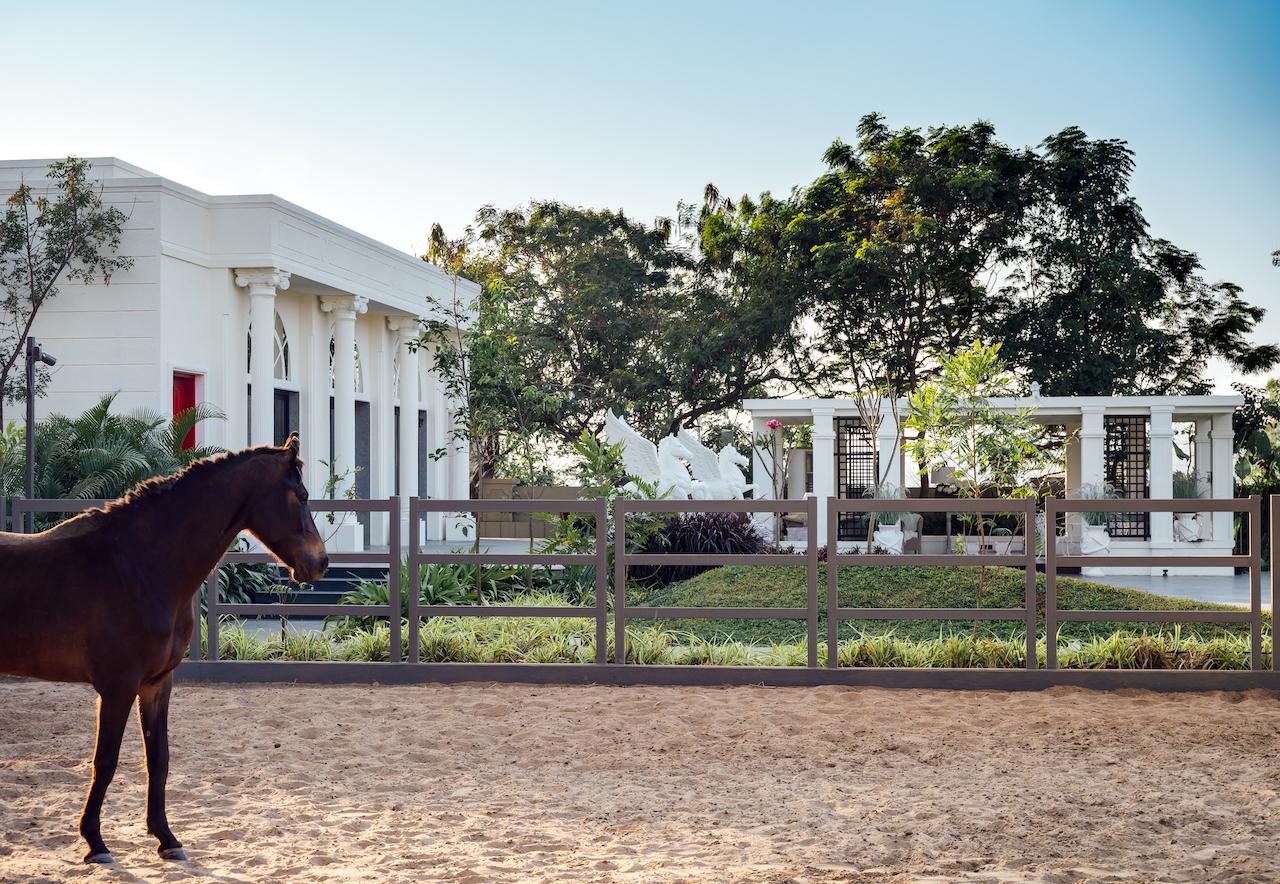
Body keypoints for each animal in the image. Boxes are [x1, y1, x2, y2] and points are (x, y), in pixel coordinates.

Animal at [0, 434, 330, 864]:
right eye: (301, 495)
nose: (321, 563)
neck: (139, 563)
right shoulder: (118, 687)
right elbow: (105, 761)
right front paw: (95, 842)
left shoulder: (156, 684)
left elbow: (159, 759)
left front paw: (166, 838)